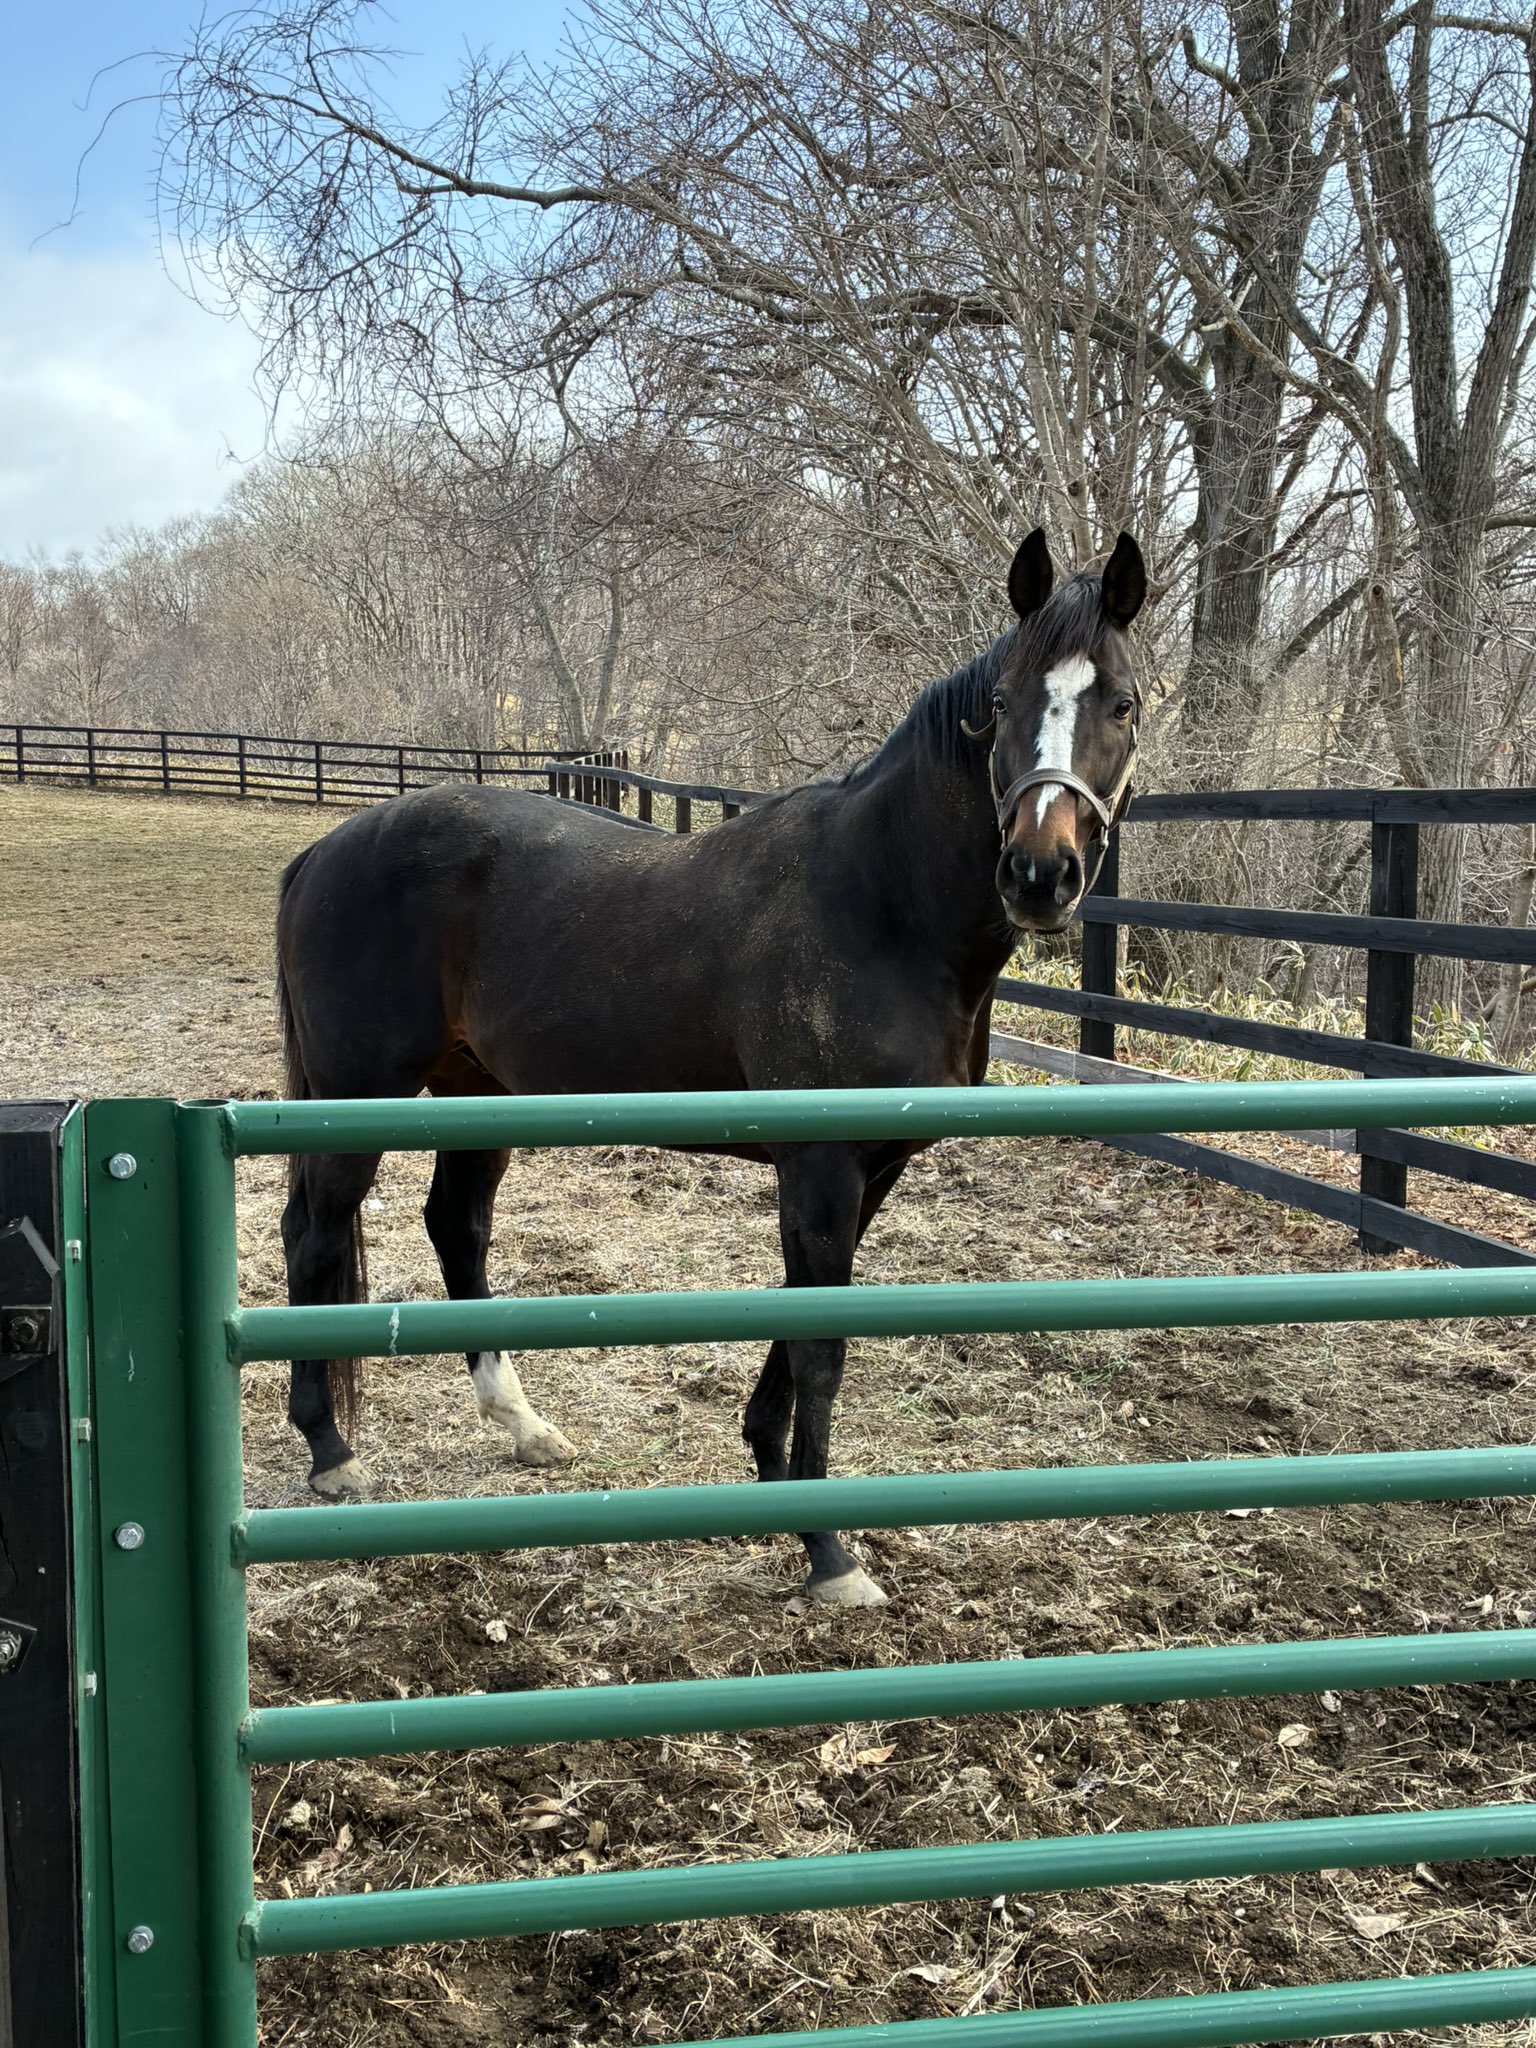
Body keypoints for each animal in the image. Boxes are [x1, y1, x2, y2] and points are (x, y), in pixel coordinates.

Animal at [274, 529, 1146, 1606]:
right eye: (1007, 698)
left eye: (1123, 703)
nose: (1039, 873)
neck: (880, 902)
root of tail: (324, 851)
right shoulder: (821, 1167)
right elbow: (821, 1346)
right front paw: (829, 1555)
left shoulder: (870, 1171)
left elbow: (805, 1317)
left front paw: (770, 1468)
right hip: (359, 1095)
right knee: (315, 1234)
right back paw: (330, 1450)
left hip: (475, 1092)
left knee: (454, 1226)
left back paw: (521, 1424)